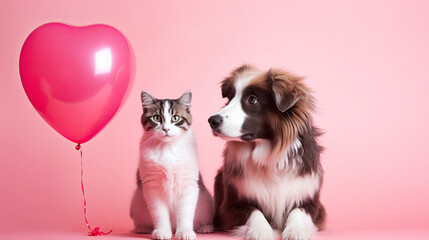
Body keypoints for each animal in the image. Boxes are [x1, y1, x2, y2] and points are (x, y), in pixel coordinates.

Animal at [128, 90, 213, 240]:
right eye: (156, 118)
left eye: (175, 118)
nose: (166, 129)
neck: (168, 148)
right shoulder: (152, 187)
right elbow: (159, 213)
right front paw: (162, 231)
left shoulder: (188, 184)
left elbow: (185, 212)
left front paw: (185, 231)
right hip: (136, 202)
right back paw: (142, 227)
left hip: (207, 201)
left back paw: (205, 227)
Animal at [207, 65, 324, 240]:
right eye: (230, 98)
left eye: (252, 100)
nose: (212, 121)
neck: (268, 154)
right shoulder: (232, 204)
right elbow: (254, 212)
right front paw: (261, 230)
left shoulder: (311, 202)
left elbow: (297, 211)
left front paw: (296, 230)